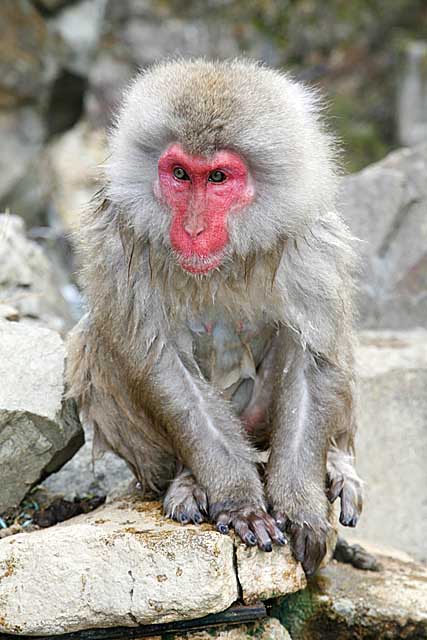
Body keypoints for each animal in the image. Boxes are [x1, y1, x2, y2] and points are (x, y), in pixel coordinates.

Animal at [68, 58, 362, 576]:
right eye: (180, 174)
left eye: (219, 177)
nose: (192, 228)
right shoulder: (118, 240)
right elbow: (163, 368)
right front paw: (238, 500)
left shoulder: (311, 245)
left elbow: (313, 359)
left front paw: (301, 506)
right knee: (95, 341)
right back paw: (189, 481)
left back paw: (336, 466)